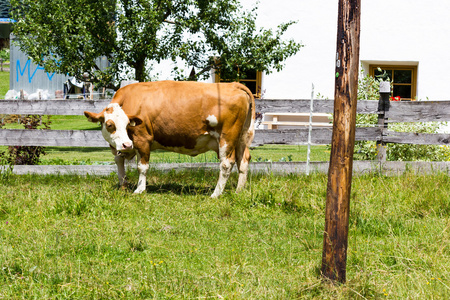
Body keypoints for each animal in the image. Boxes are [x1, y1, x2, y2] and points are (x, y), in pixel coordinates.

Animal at [83, 80, 255, 197]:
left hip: (227, 138)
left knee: (226, 164)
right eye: (110, 125)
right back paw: (239, 190)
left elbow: (142, 167)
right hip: (240, 138)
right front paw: (123, 185)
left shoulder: (142, 139)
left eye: (127, 124)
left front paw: (139, 189)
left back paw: (216, 194)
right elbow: (119, 162)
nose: (126, 144)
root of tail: (233, 84)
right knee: (243, 160)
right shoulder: (119, 147)